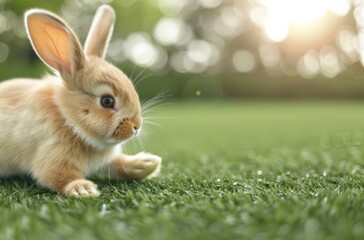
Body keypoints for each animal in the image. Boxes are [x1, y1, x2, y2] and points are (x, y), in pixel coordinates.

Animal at [0, 5, 161, 197]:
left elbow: (118, 164)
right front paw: (82, 189)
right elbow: (59, 175)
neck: (67, 118)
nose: (136, 126)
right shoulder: (53, 155)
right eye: (107, 101)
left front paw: (147, 164)